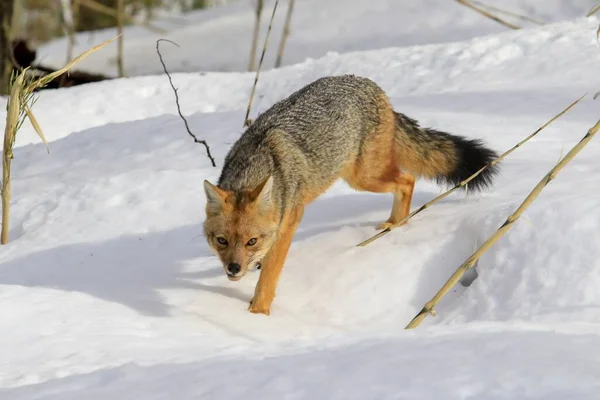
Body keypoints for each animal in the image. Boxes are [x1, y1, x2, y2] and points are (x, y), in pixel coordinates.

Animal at [202, 73, 496, 314]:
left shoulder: (292, 217)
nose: (234, 268)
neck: (255, 163)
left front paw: (257, 314)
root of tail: (368, 84)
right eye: (222, 241)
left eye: (251, 241)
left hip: (365, 177)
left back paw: (395, 225)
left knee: (407, 180)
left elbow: (270, 276)